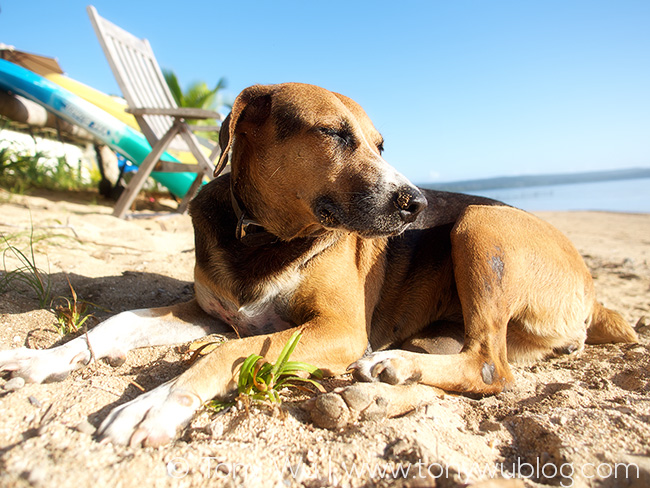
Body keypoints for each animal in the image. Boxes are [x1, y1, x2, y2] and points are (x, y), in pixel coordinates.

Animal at [0, 83, 636, 446]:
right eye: (333, 133)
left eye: (380, 145)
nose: (417, 203)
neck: (262, 234)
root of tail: (593, 293)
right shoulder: (210, 311)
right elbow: (118, 322)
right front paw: (41, 361)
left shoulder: (338, 329)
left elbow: (225, 354)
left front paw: (153, 406)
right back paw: (375, 389)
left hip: (483, 225)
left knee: (491, 368)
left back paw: (384, 374)